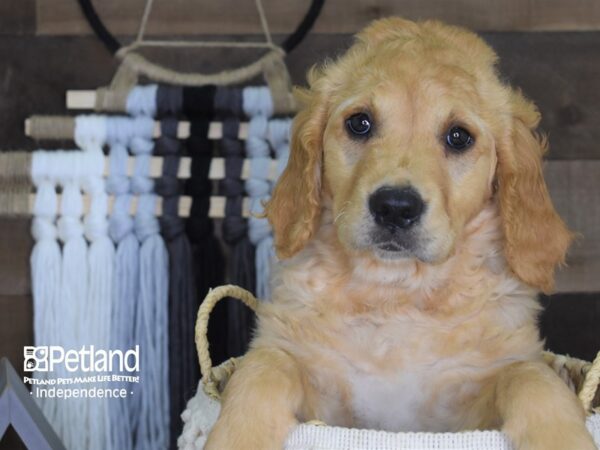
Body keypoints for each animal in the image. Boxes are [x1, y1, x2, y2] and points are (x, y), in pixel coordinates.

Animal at [205, 15, 596, 448]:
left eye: (459, 136)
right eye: (359, 123)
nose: (395, 207)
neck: (396, 292)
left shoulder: (467, 407)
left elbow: (530, 375)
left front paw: (562, 436)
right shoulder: (317, 387)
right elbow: (265, 364)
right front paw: (235, 436)